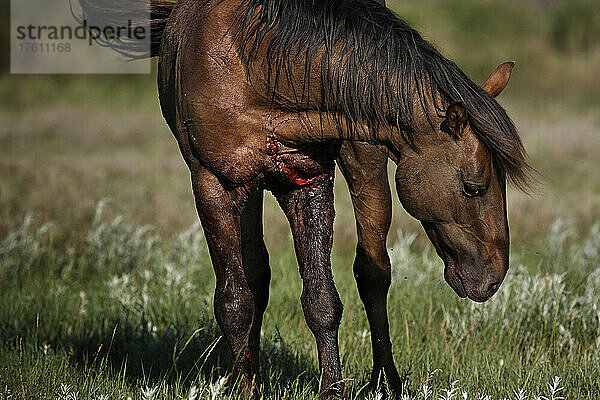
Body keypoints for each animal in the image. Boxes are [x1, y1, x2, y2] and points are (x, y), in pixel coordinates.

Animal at [76, 0, 528, 396]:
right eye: (474, 187)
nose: (492, 279)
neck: (258, 64)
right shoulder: (214, 182)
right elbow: (236, 301)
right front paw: (247, 390)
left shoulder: (309, 178)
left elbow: (322, 299)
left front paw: (333, 390)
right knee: (257, 278)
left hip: (363, 154)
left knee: (373, 271)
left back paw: (386, 384)